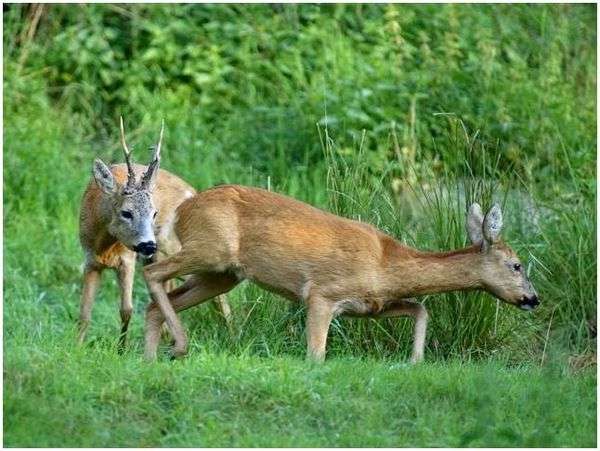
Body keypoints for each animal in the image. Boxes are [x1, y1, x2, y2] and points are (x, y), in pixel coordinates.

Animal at [78, 118, 232, 348]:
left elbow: (126, 309)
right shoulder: (90, 260)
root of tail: (193, 192)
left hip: (172, 246)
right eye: (126, 212)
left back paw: (232, 331)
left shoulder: (127, 258)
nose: (148, 244)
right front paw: (75, 347)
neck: (104, 245)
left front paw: (121, 350)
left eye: (154, 213)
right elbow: (84, 315)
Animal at [141, 185, 540, 362]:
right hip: (211, 248)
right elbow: (316, 355)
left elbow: (420, 308)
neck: (385, 263)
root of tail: (181, 210)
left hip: (224, 273)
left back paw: (151, 358)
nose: (533, 299)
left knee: (157, 300)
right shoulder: (321, 294)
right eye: (517, 264)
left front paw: (414, 362)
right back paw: (179, 346)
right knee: (154, 271)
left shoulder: (370, 306)